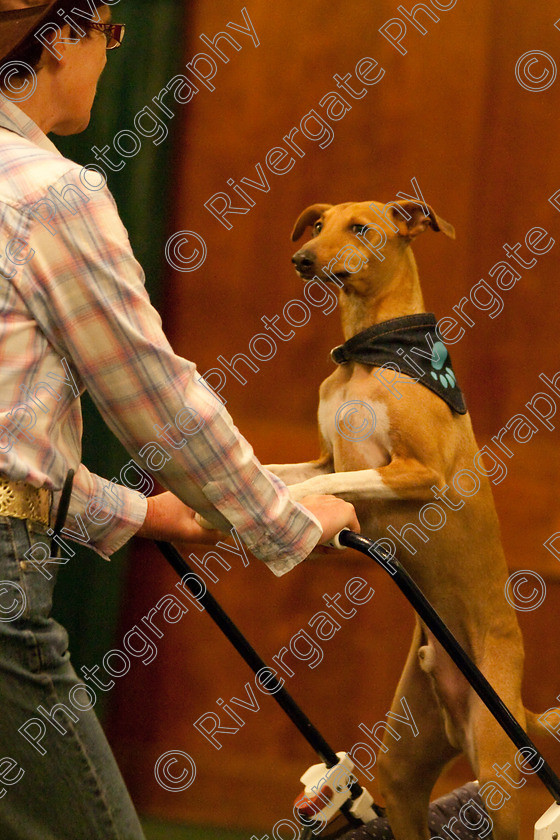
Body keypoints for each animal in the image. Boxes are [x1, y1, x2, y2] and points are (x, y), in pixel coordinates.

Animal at [266, 199, 544, 840]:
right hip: (402, 767)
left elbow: (327, 483)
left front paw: (304, 506)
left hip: (498, 775)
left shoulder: (418, 472)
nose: (302, 260)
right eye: (319, 225)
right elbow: (277, 469)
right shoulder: (324, 454)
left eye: (362, 229)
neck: (367, 353)